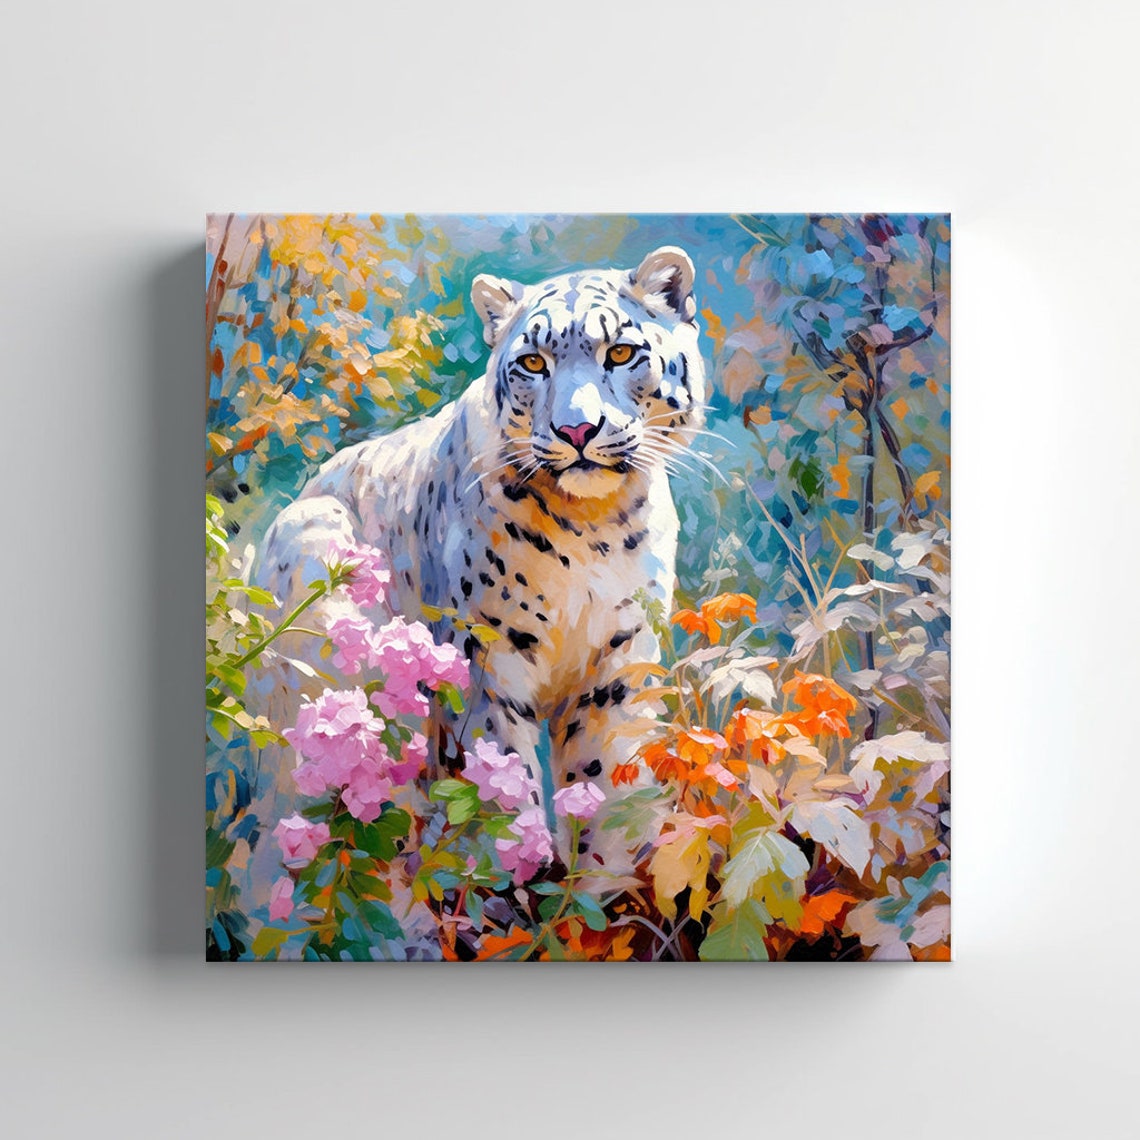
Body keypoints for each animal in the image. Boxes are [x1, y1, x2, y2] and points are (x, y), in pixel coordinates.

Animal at [257, 246, 706, 875]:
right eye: (533, 363)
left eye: (621, 352)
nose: (576, 430)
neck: (594, 530)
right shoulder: (486, 652)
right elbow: (500, 770)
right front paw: (513, 867)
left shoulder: (619, 654)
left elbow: (609, 767)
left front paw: (603, 873)